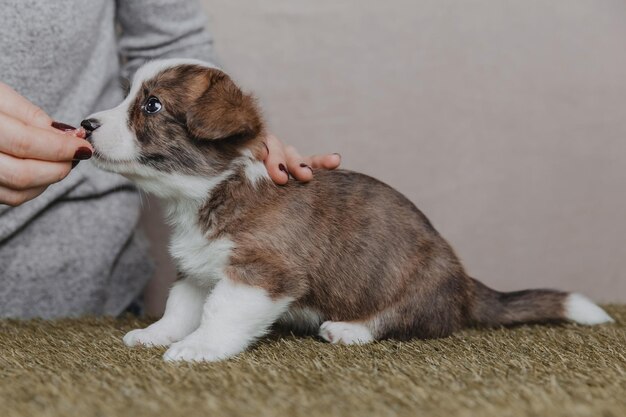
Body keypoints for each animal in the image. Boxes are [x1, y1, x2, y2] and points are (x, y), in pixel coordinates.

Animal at [80, 58, 612, 360]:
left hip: (417, 283)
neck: (212, 190)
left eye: (151, 105)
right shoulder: (199, 270)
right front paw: (158, 335)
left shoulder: (259, 274)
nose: (85, 124)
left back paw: (349, 330)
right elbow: (180, 307)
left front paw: (198, 348)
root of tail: (466, 284)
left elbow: (219, 315)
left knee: (404, 321)